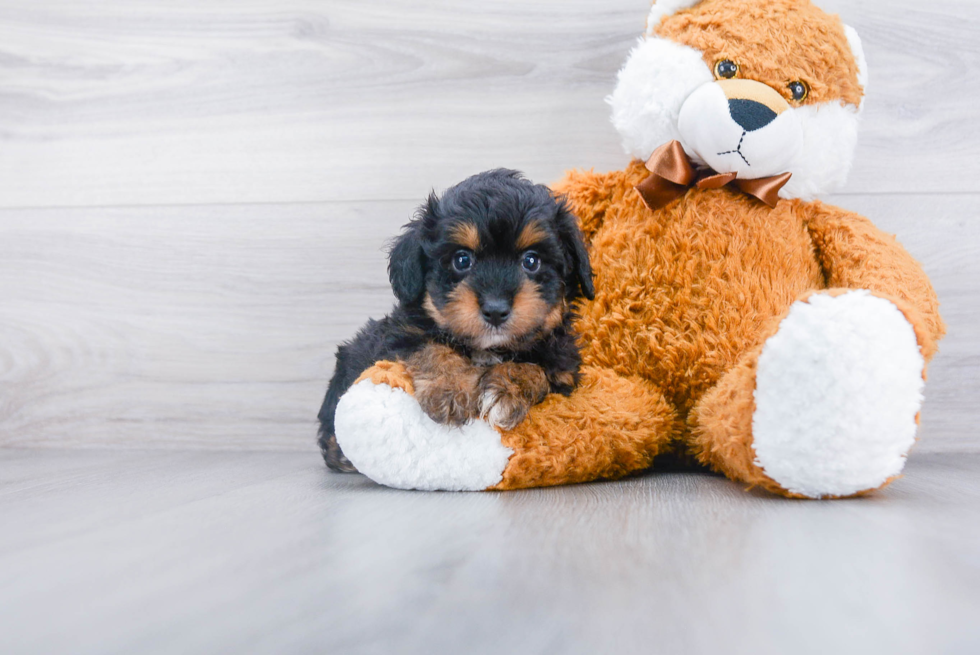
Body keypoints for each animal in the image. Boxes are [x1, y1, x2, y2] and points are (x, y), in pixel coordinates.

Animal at [318, 170, 592, 472]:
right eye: (462, 260)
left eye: (531, 261)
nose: (495, 309)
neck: (488, 349)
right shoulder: (401, 334)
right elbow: (433, 348)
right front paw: (450, 389)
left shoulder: (563, 371)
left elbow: (536, 371)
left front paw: (506, 391)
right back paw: (339, 452)